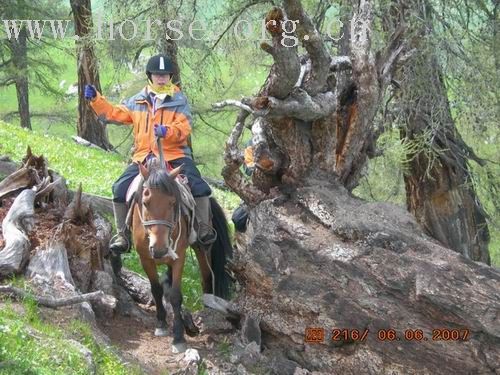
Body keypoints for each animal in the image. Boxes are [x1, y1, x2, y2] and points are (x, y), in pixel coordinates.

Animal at [133, 163, 234, 354]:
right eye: (145, 202)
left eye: (173, 202)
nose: (159, 249)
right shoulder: (145, 259)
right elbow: (156, 289)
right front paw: (161, 324)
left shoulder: (179, 258)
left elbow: (175, 296)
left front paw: (179, 337)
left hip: (202, 249)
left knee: (206, 279)